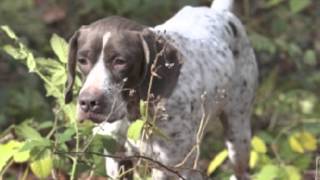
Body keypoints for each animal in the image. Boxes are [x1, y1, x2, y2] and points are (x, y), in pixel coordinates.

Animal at [64, 0, 258, 179]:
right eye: (82, 60)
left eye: (120, 61)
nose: (88, 102)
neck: (134, 114)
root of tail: (220, 12)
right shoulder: (116, 160)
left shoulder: (168, 167)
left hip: (238, 135)